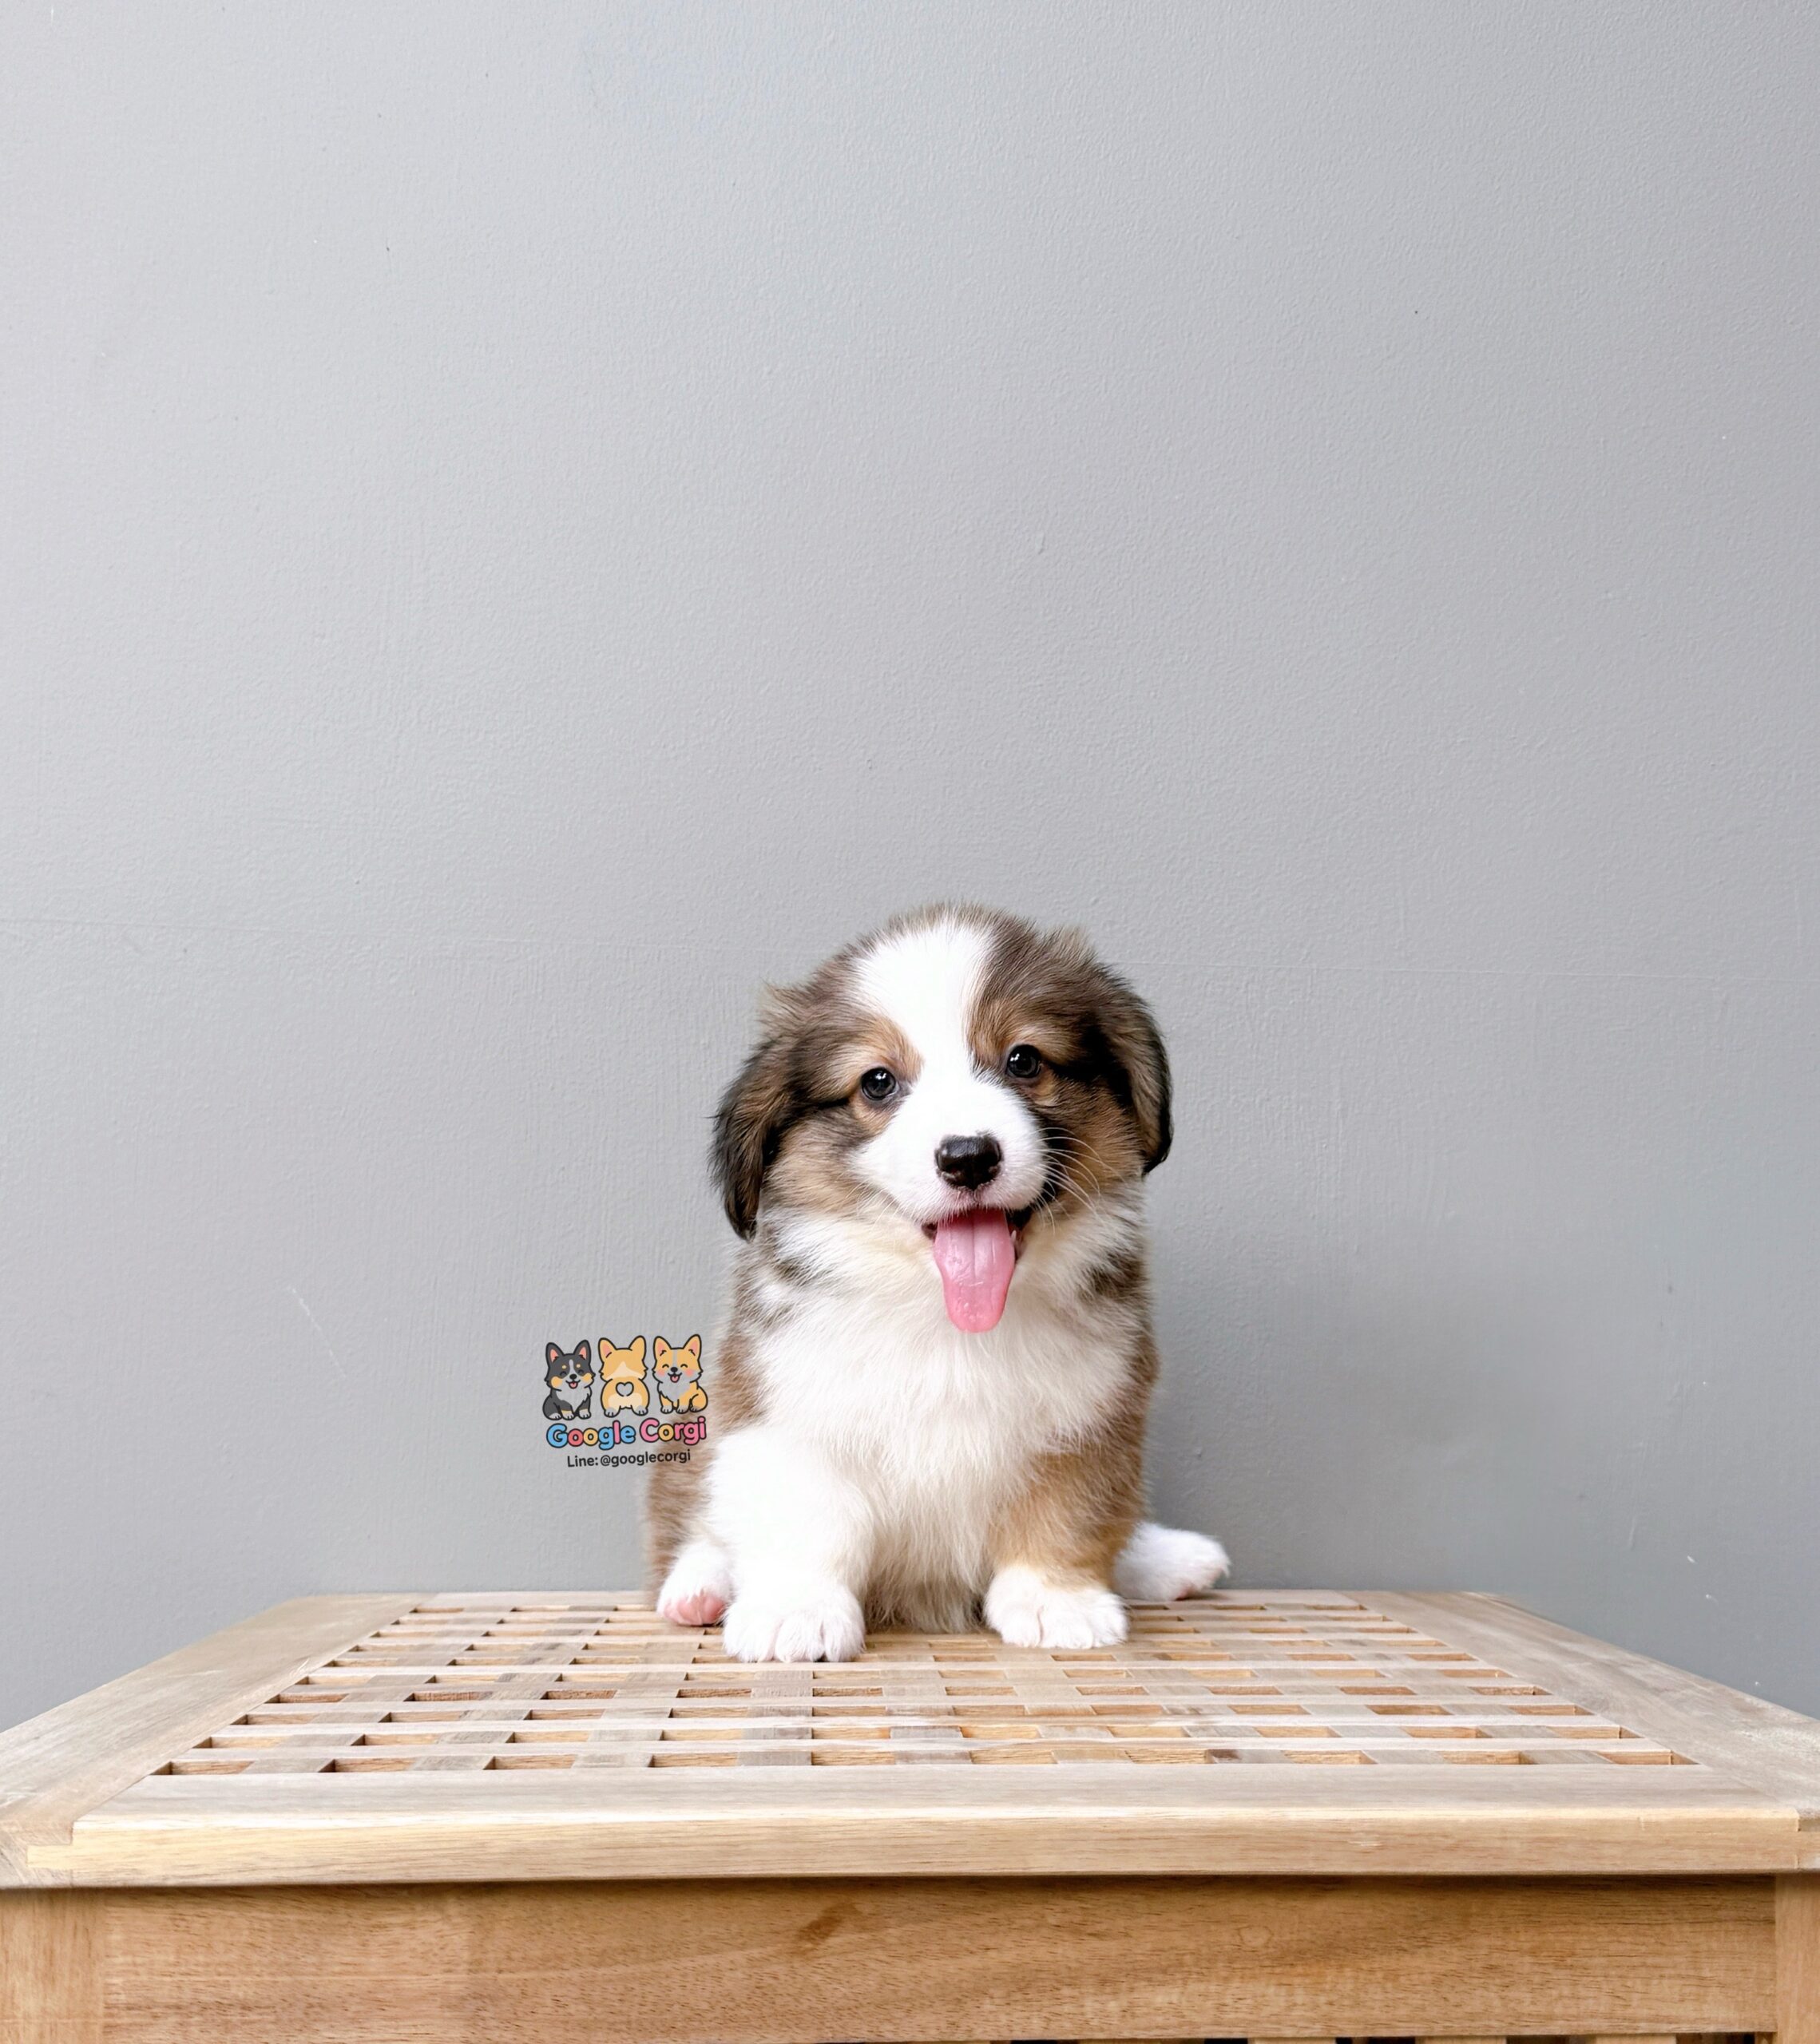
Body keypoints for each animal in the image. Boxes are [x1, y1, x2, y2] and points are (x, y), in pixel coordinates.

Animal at [647, 904, 1228, 1662]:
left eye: (1023, 1060)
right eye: (877, 1082)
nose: (968, 1156)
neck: (944, 1315)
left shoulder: (1091, 1414)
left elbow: (1068, 1510)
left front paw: (1055, 1599)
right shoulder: (785, 1408)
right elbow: (806, 1516)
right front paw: (796, 1610)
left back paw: (1166, 1560)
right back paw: (700, 1588)